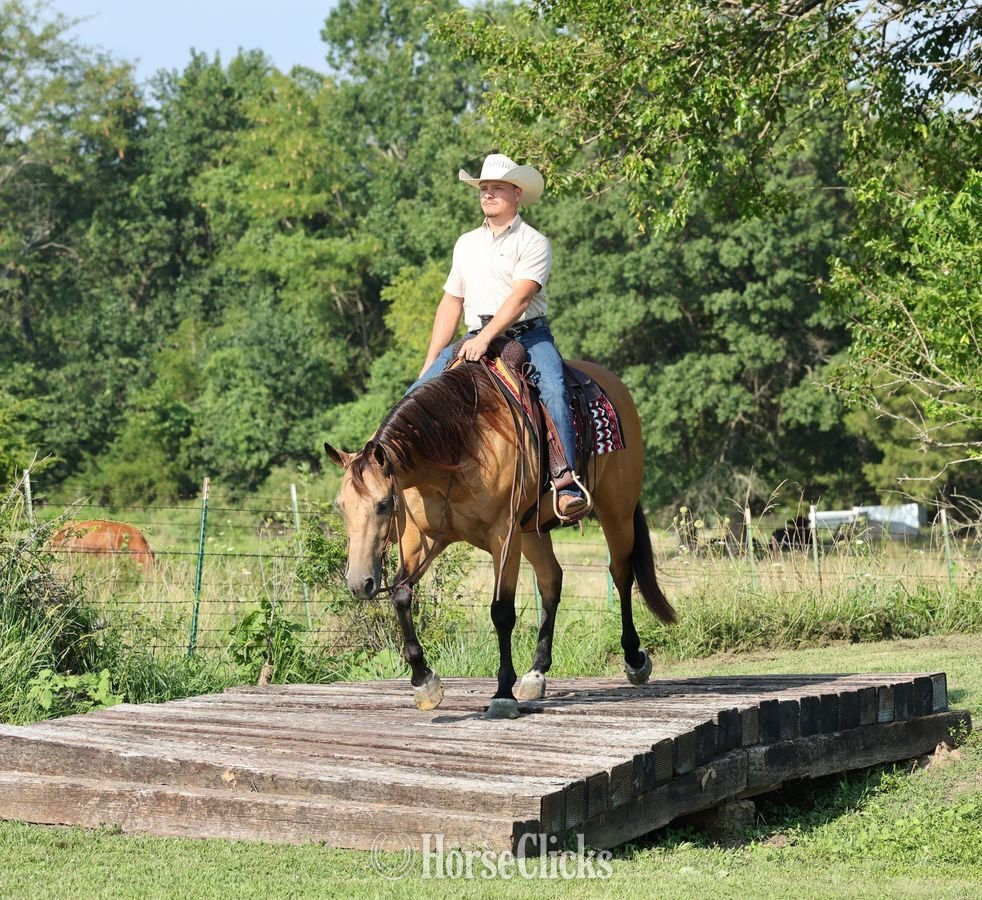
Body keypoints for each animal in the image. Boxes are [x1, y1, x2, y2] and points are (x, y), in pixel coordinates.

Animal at [325, 357, 676, 719]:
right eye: (341, 506)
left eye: (383, 504)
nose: (359, 583)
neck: (456, 449)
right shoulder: (422, 538)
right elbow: (400, 595)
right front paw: (424, 681)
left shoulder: (503, 536)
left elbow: (502, 612)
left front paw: (503, 693)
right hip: (533, 530)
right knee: (551, 580)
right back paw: (536, 672)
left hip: (615, 509)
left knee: (620, 573)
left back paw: (634, 658)